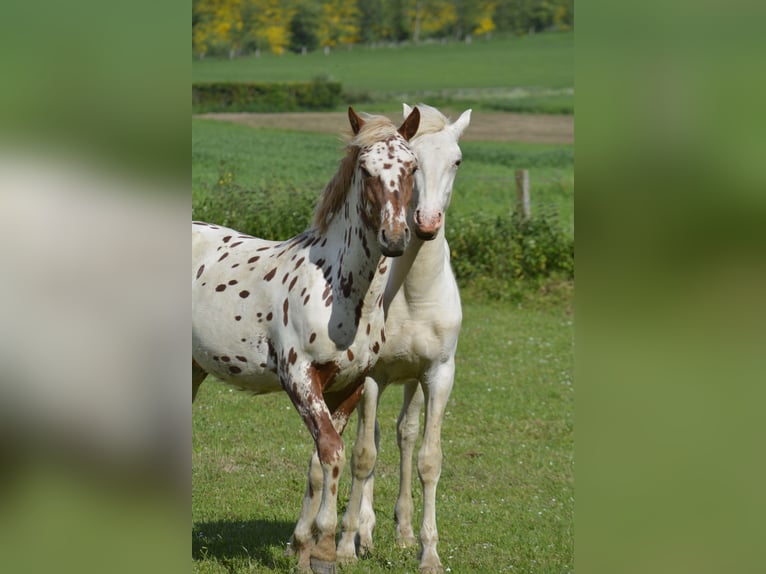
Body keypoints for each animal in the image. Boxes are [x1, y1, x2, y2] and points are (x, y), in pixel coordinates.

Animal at [190, 108, 420, 574]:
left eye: (412, 168)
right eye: (366, 170)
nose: (394, 238)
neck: (336, 285)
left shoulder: (350, 385)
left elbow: (320, 460)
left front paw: (302, 546)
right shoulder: (299, 376)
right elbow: (331, 452)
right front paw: (326, 549)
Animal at [336, 104, 474, 574]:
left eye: (457, 161)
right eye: (414, 161)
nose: (426, 223)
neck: (413, 292)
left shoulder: (439, 375)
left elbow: (428, 459)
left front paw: (427, 551)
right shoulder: (371, 376)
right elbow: (363, 456)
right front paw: (346, 545)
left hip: (413, 381)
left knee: (403, 434)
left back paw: (402, 531)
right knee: (371, 438)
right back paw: (362, 529)